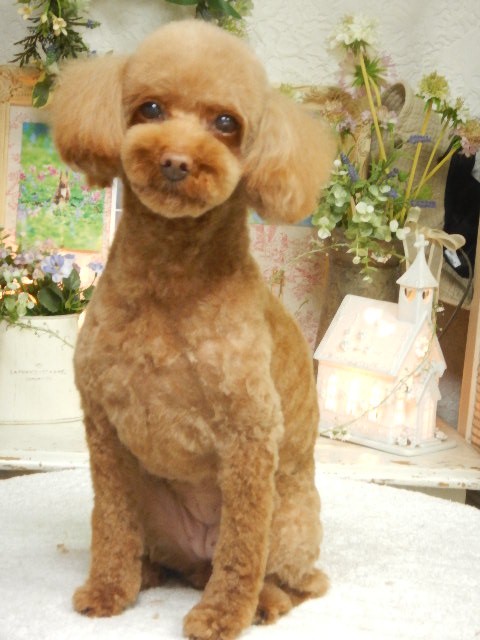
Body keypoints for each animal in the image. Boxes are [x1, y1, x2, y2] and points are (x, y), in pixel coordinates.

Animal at [51, 20, 335, 640]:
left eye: (226, 123)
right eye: (151, 108)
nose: (177, 161)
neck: (170, 278)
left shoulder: (251, 433)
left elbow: (243, 549)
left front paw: (221, 617)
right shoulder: (103, 427)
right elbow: (111, 523)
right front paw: (109, 589)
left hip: (292, 518)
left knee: (292, 578)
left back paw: (262, 602)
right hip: (155, 507)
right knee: (160, 550)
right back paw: (148, 572)